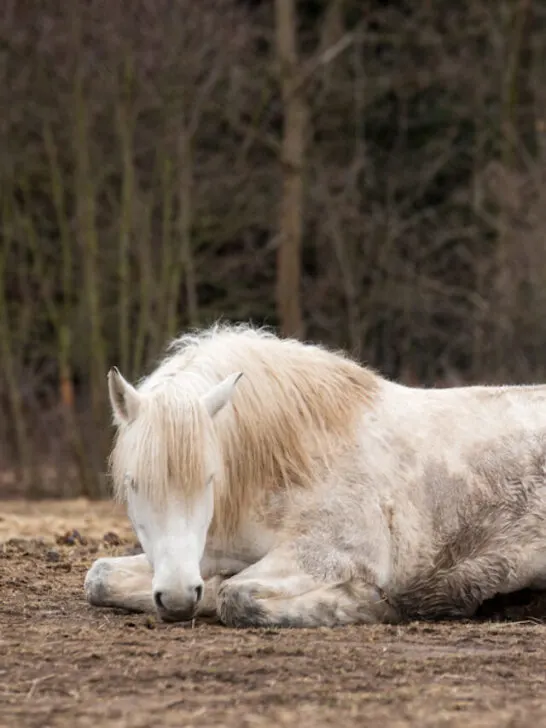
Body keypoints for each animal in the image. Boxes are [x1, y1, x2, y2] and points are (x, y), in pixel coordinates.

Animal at [84, 323, 546, 627]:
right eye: (134, 483)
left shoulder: (328, 553)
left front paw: (369, 604)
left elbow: (237, 595)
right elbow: (99, 576)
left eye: (209, 480)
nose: (179, 596)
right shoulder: (207, 554)